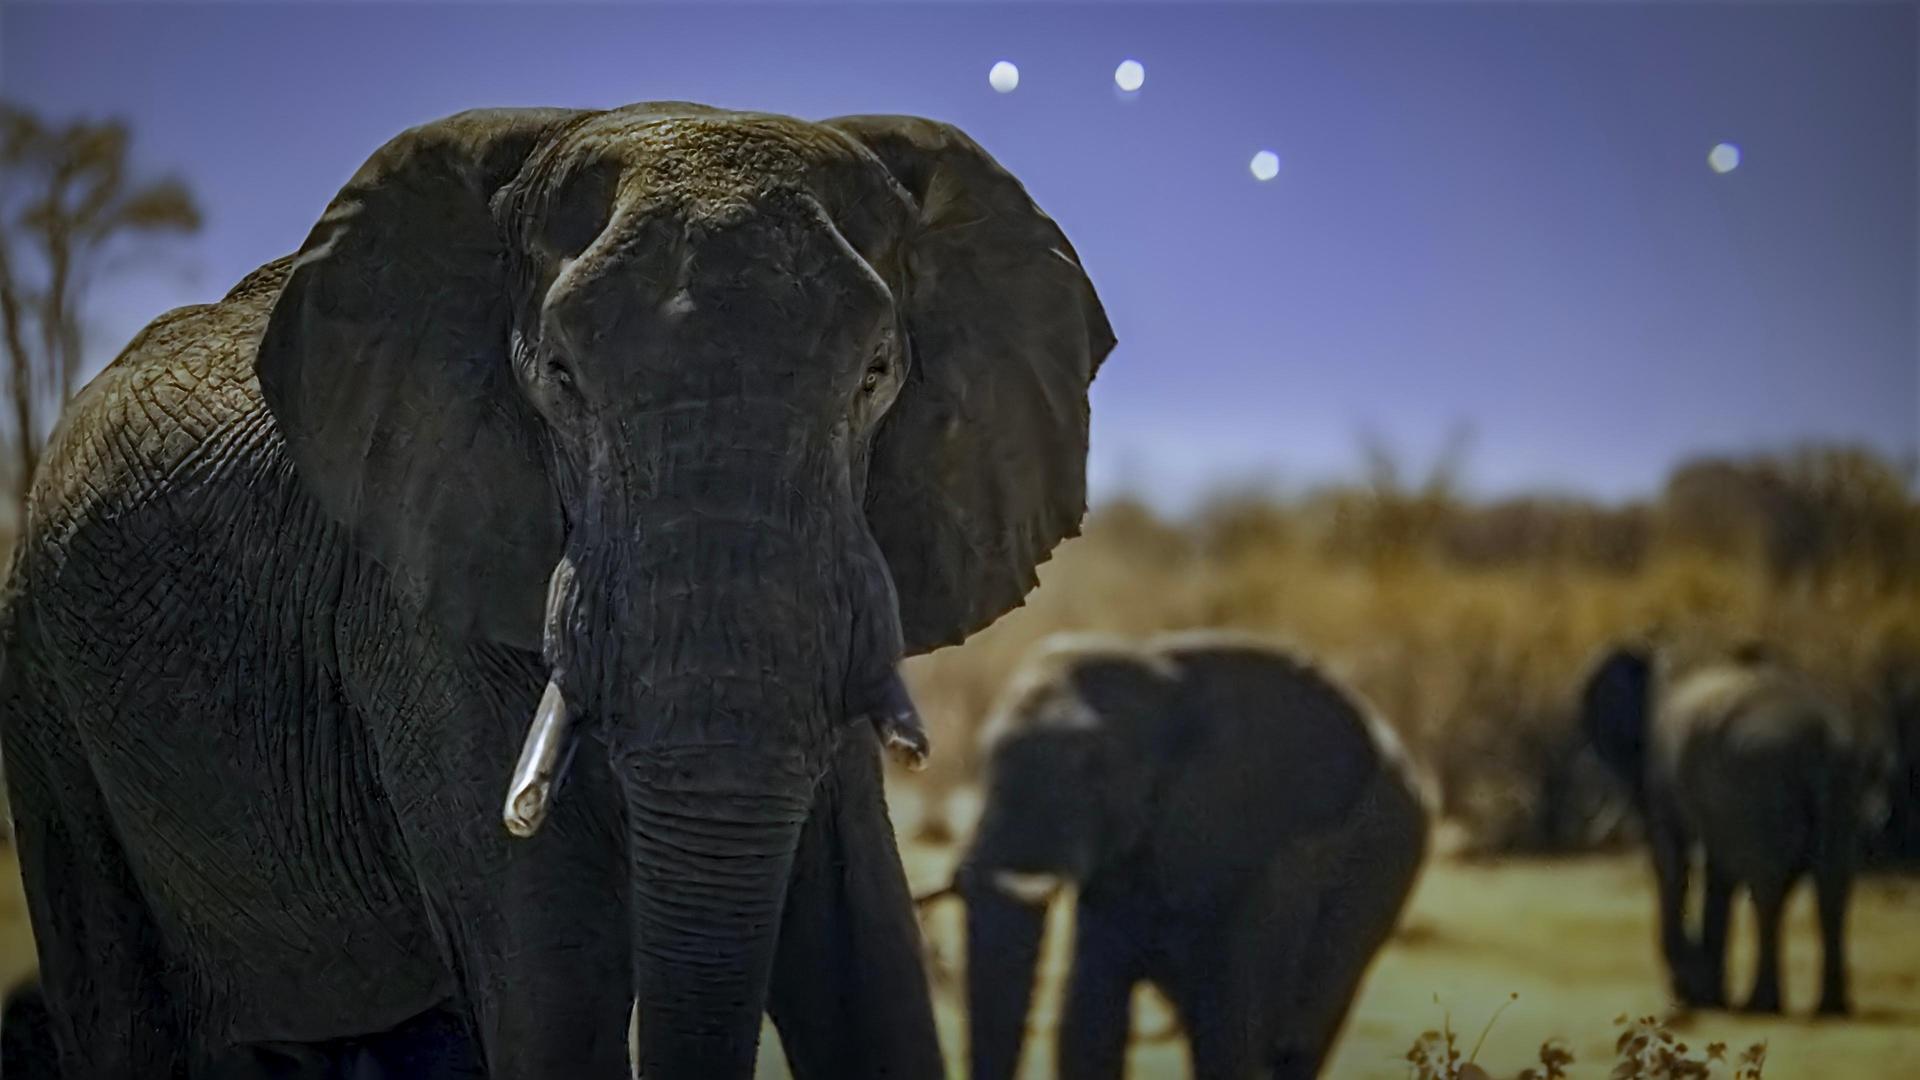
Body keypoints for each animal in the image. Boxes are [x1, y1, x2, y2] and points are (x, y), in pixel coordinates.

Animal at [0, 102, 1113, 1078]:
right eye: (562, 379)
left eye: (876, 375)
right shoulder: (412, 609)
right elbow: (555, 995)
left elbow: (866, 966)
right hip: (45, 701)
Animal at [937, 632, 1431, 1080]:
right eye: (982, 755)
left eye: (1095, 768)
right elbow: (1089, 1021)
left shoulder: (1264, 854)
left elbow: (1231, 1039)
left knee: (1298, 1041)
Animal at [1580, 642, 1891, 1015]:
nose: (1682, 992)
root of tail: (1825, 740)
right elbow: (1718, 870)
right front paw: (1707, 994)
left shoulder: (1664, 775)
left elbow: (1673, 862)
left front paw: (1698, 993)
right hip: (1840, 787)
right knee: (1833, 885)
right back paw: (1830, 1007)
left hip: (1760, 777)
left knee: (1768, 886)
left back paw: (1762, 1005)